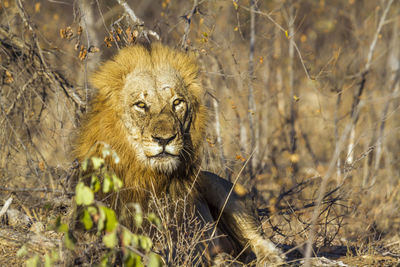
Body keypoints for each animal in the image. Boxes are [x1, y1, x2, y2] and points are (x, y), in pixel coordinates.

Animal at [72, 44, 284, 266]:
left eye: (177, 103)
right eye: (141, 105)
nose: (164, 139)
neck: (149, 178)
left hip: (222, 190)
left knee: (257, 239)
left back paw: (269, 257)